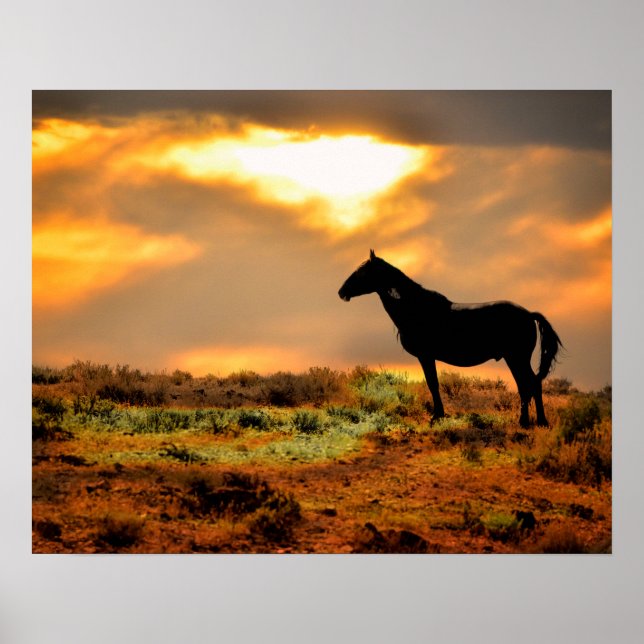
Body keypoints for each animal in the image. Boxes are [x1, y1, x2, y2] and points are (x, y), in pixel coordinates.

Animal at [338, 250, 562, 428]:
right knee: (528, 386)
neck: (416, 308)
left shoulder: (426, 356)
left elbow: (433, 384)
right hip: (515, 359)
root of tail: (529, 314)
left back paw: (533, 422)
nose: (342, 292)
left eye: (362, 271)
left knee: (531, 385)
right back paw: (531, 421)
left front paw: (437, 416)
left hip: (516, 358)